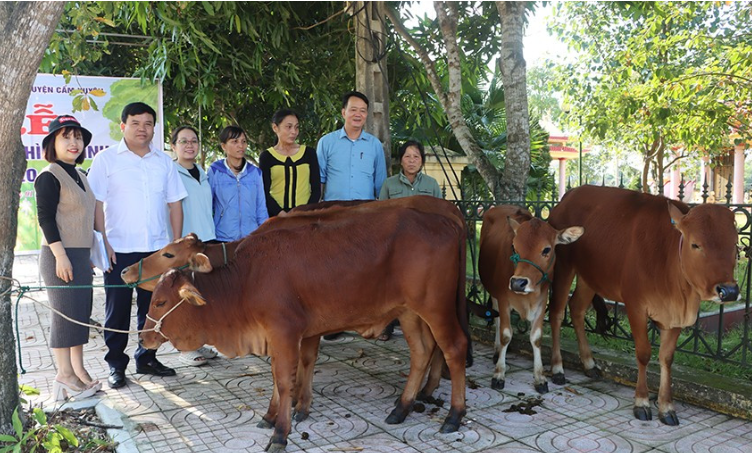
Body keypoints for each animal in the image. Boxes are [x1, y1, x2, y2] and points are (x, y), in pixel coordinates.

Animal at [139, 206, 468, 452]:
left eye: (160, 302)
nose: (143, 338)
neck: (246, 279)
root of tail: (446, 221)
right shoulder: (278, 335)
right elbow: (279, 377)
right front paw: (271, 417)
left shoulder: (285, 332)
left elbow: (286, 381)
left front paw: (280, 433)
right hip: (409, 312)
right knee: (421, 353)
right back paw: (401, 408)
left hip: (436, 308)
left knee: (454, 348)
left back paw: (453, 415)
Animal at [482, 205, 580, 392]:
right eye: (514, 247)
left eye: (547, 250)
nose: (517, 283)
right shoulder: (504, 299)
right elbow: (506, 334)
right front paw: (499, 374)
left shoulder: (541, 302)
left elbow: (536, 338)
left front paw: (540, 378)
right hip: (494, 292)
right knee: (496, 318)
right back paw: (497, 351)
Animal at [548, 185, 740, 426]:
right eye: (695, 244)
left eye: (734, 245)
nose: (729, 291)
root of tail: (567, 197)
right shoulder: (636, 307)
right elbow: (643, 353)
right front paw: (641, 402)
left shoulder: (675, 317)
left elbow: (666, 358)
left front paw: (666, 407)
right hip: (563, 266)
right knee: (556, 313)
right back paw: (557, 369)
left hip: (588, 277)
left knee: (577, 309)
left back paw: (589, 364)